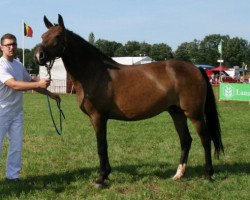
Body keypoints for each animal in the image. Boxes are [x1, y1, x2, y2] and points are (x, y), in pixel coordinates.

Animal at [34, 14, 224, 188]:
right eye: (43, 36)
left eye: (58, 36)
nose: (39, 56)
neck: (94, 73)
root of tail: (196, 68)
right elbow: (103, 146)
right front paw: (105, 174)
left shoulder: (98, 117)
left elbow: (101, 146)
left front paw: (101, 178)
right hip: (176, 112)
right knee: (186, 140)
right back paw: (178, 175)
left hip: (194, 114)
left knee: (205, 139)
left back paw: (208, 175)